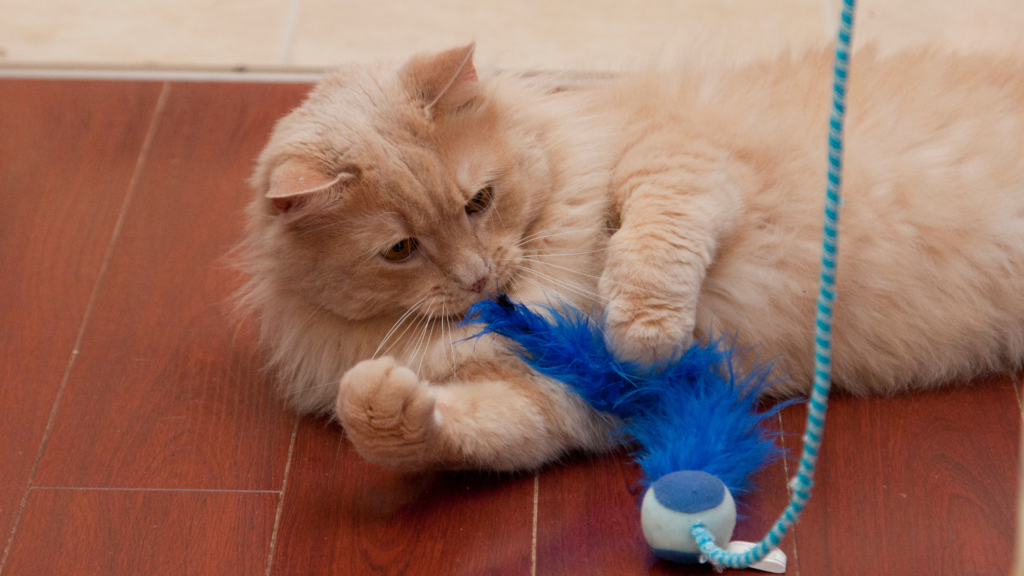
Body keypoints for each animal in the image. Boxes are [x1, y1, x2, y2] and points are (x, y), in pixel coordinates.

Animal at [235, 41, 1024, 471]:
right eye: (401, 249)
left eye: (478, 202)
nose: (479, 277)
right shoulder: (555, 400)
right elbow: (438, 431)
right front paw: (382, 400)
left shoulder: (676, 158)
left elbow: (650, 244)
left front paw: (642, 331)